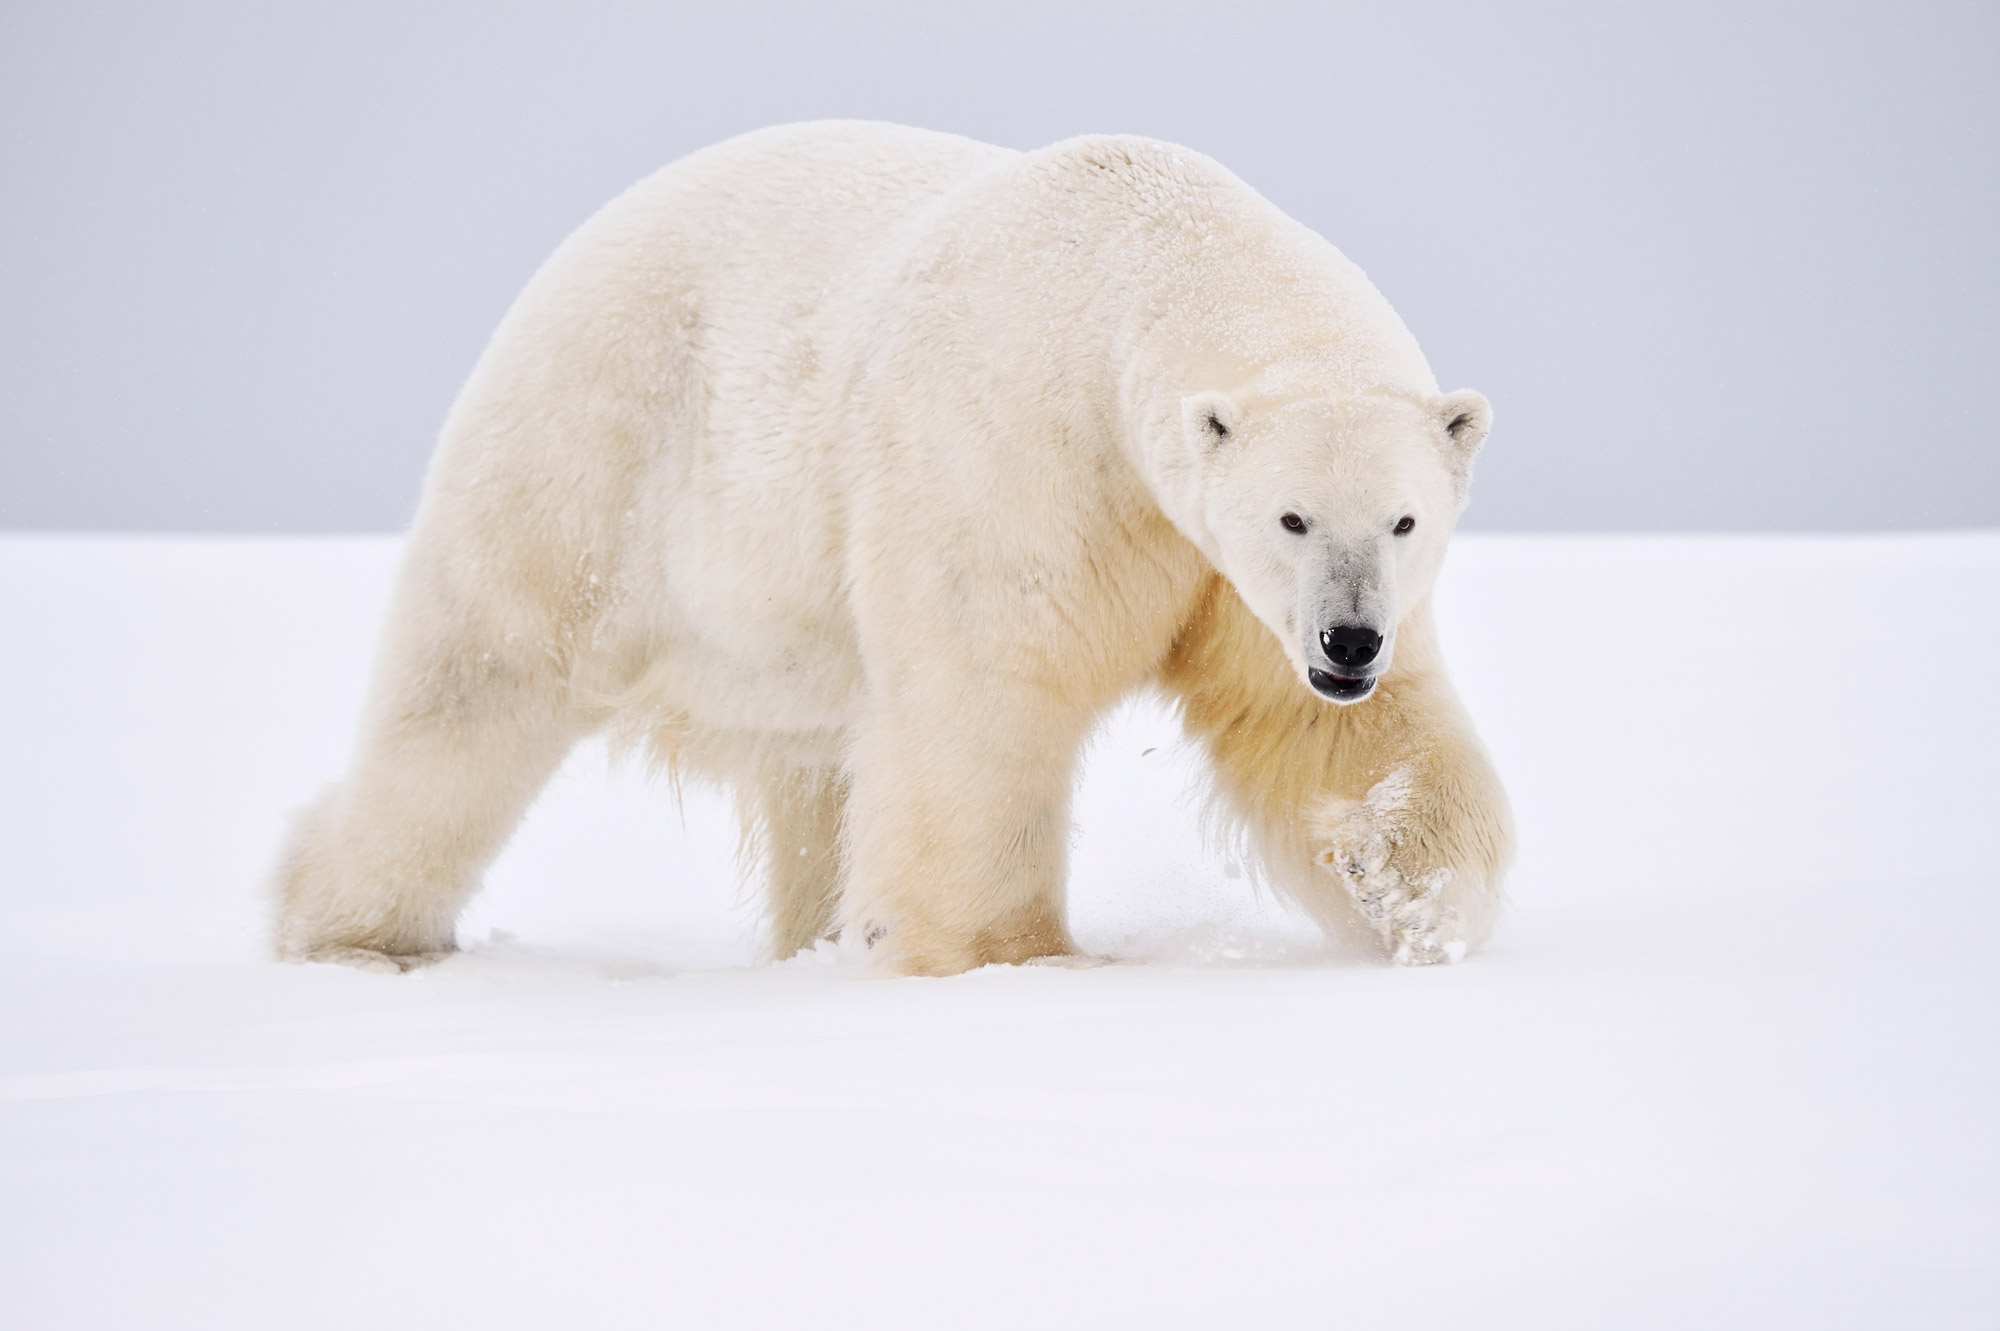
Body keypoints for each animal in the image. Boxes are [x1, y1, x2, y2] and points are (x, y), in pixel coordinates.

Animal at [270, 121, 1512, 975]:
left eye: (1403, 519)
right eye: (1289, 516)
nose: (1348, 640)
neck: (1135, 246)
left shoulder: (1221, 574)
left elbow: (1316, 727)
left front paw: (1407, 890)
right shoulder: (1025, 459)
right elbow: (986, 702)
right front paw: (1002, 952)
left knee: (814, 770)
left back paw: (813, 938)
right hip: (592, 456)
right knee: (472, 691)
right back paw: (347, 929)